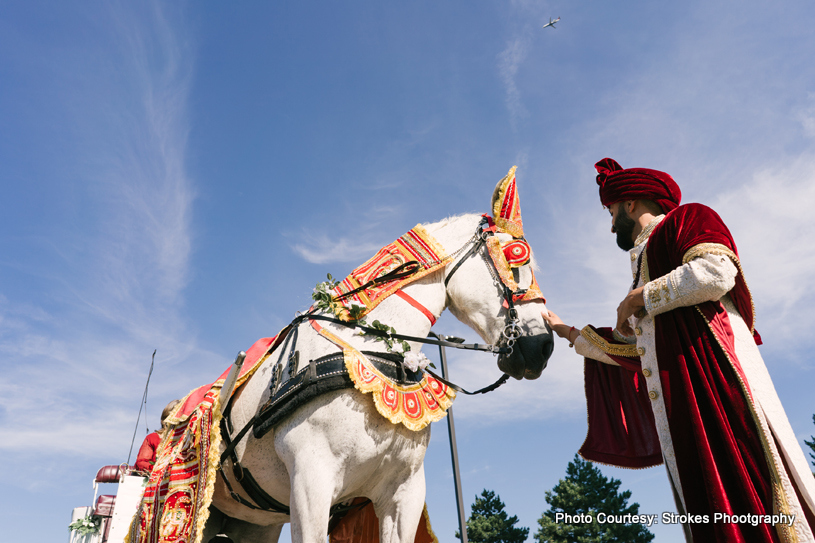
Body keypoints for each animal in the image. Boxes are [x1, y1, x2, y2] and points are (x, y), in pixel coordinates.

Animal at [204, 172, 556, 543]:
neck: (374, 351)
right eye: (517, 259)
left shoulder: (403, 490)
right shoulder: (310, 481)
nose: (544, 346)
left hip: (257, 523)